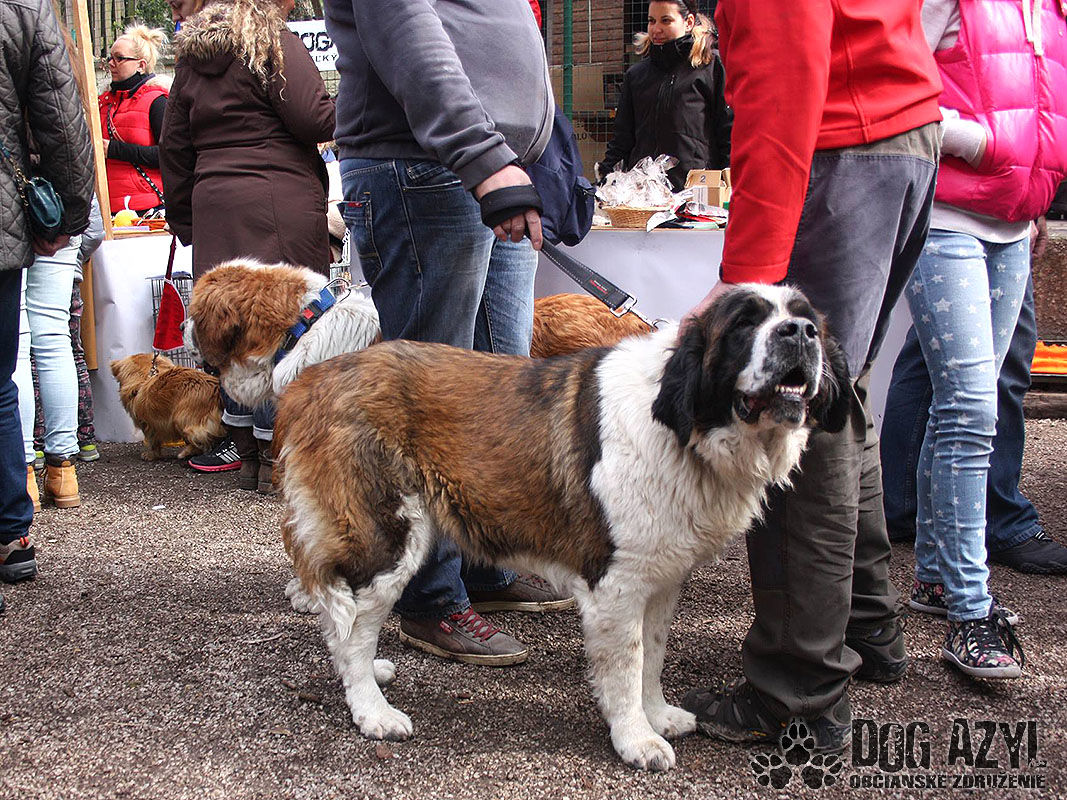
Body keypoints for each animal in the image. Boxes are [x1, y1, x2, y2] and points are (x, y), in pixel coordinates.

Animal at [272, 283, 850, 771]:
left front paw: (658, 715)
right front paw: (635, 739)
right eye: (744, 324)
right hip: (389, 538)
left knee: (344, 622)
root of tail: (313, 379)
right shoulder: (616, 583)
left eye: (806, 319)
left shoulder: (661, 577)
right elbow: (627, 662)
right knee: (353, 627)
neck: (682, 425)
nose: (799, 333)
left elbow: (653, 653)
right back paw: (371, 708)